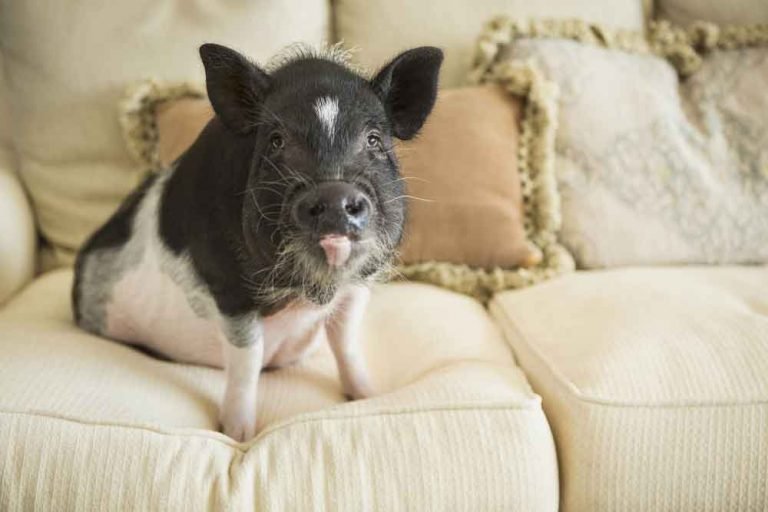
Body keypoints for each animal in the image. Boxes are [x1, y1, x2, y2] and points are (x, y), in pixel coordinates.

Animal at [71, 43, 443, 441]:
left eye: (373, 139)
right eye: (276, 140)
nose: (334, 193)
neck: (308, 293)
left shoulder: (359, 284)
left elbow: (346, 342)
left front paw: (371, 395)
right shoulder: (228, 287)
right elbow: (247, 360)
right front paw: (239, 435)